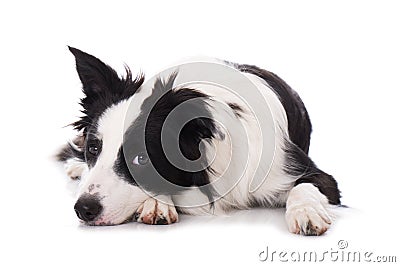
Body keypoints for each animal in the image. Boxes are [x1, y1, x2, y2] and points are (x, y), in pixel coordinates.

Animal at [57, 46, 340, 237]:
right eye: (94, 148)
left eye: (141, 158)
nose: (84, 209)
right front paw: (157, 203)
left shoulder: (303, 171)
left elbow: (304, 186)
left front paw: (307, 212)